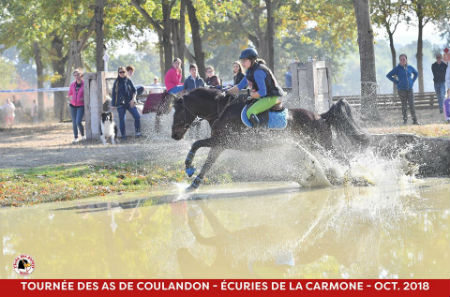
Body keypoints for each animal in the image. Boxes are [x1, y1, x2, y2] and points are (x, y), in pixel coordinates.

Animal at [171, 86, 368, 191]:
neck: (221, 110)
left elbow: (196, 144)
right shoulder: (219, 145)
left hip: (324, 144)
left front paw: (189, 168)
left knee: (343, 159)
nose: (174, 135)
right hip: (313, 145)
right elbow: (207, 164)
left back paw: (348, 178)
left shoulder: (222, 141)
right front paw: (192, 185)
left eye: (178, 111)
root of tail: (321, 116)